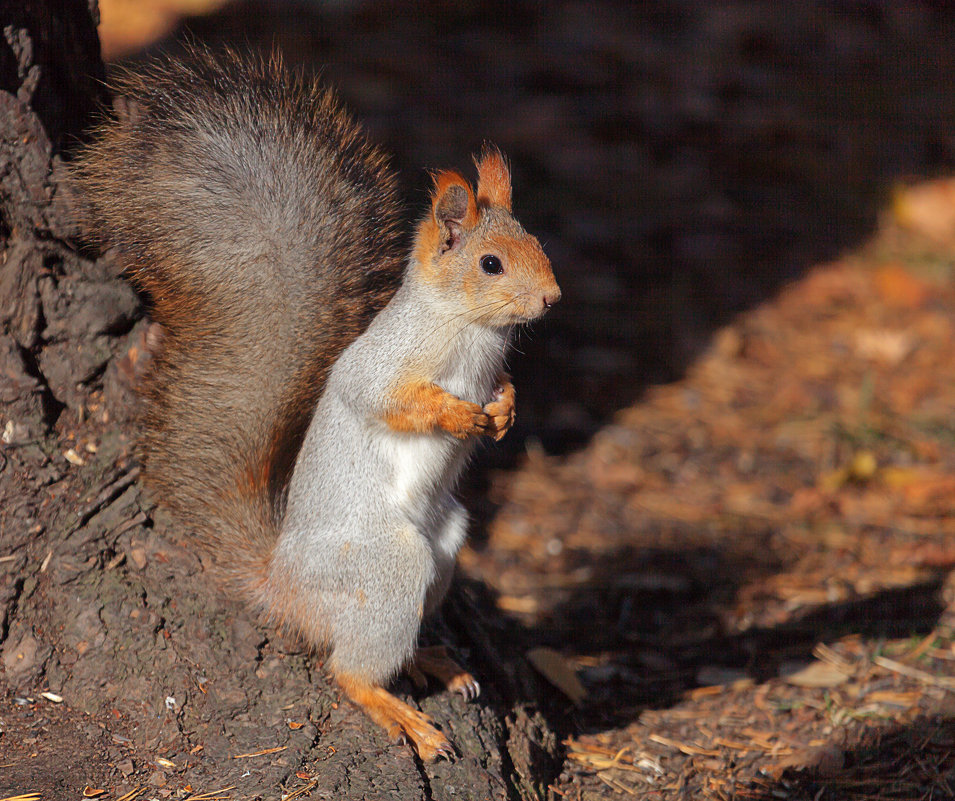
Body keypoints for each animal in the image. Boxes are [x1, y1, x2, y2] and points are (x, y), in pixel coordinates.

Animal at [73, 47, 560, 760]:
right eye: (491, 263)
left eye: (536, 242)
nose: (552, 299)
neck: (470, 331)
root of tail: (284, 587)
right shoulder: (379, 366)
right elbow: (386, 399)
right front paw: (458, 414)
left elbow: (504, 391)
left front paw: (502, 412)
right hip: (390, 567)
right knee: (345, 669)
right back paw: (400, 712)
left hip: (446, 546)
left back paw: (428, 660)